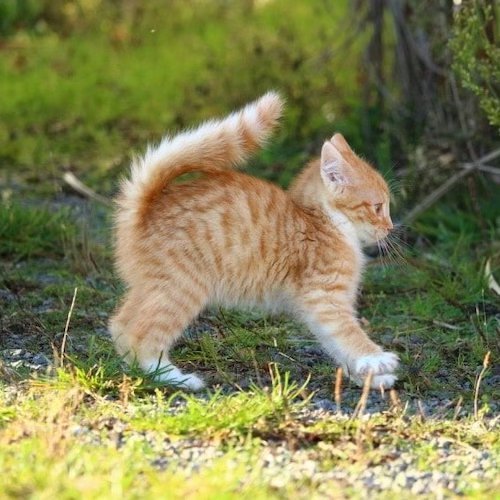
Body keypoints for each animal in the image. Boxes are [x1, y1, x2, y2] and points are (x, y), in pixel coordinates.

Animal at [109, 93, 398, 390]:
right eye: (378, 207)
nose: (390, 227)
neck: (324, 222)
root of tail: (146, 206)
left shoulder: (323, 304)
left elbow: (337, 343)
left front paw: (369, 376)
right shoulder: (324, 297)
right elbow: (348, 332)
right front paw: (376, 358)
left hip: (154, 288)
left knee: (120, 324)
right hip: (181, 288)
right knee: (140, 334)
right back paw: (172, 376)